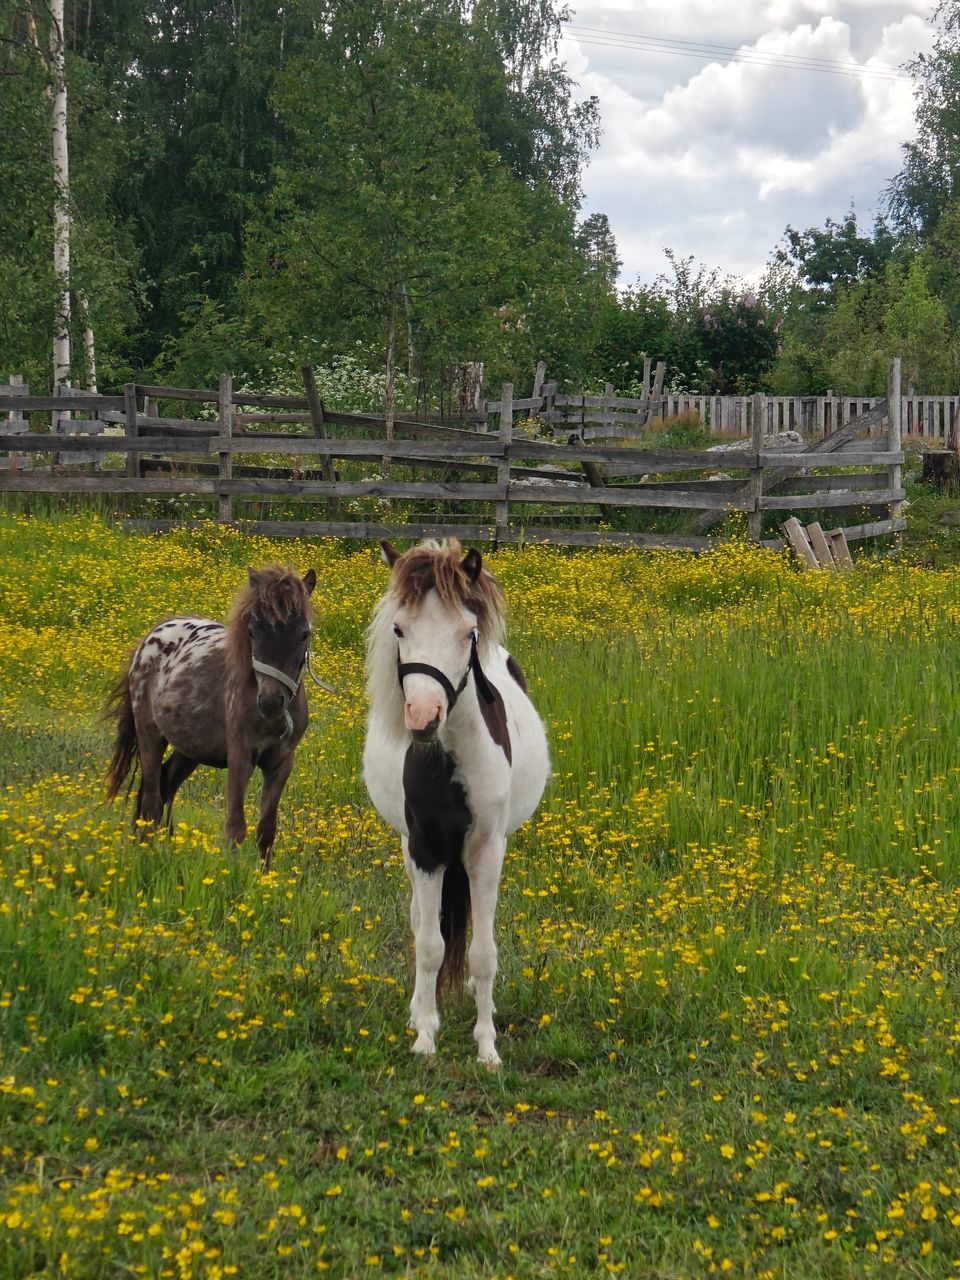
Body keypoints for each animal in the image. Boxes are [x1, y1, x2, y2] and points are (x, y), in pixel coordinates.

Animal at [105, 565, 317, 865]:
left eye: (303, 634)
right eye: (252, 632)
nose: (270, 702)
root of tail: (151, 637)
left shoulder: (280, 764)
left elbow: (266, 831)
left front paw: (265, 876)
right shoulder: (240, 758)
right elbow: (236, 826)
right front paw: (232, 873)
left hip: (189, 750)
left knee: (165, 786)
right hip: (150, 737)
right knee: (151, 801)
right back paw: (147, 854)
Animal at [363, 535, 552, 1064]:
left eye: (469, 633)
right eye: (399, 628)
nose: (423, 717)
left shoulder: (485, 850)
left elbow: (484, 952)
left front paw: (486, 1045)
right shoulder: (425, 849)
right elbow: (429, 944)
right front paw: (425, 1033)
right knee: (419, 921)